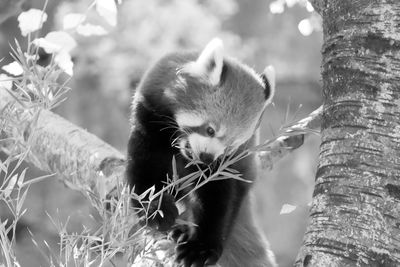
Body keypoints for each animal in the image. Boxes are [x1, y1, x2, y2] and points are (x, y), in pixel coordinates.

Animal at [126, 38, 276, 267]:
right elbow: (145, 166)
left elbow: (216, 195)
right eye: (210, 130)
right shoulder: (149, 110)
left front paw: (202, 247)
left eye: (231, 146)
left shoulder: (226, 166)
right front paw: (155, 209)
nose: (207, 158)